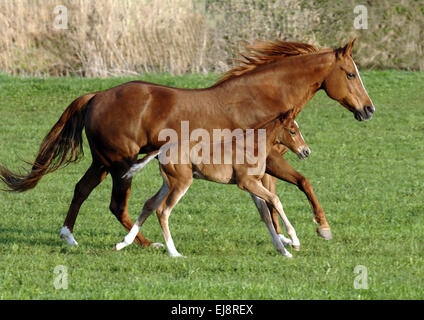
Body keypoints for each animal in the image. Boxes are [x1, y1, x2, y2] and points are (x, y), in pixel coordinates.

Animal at [116, 112, 312, 258]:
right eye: (293, 131)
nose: (306, 151)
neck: (252, 147)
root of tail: (162, 149)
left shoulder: (253, 185)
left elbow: (265, 215)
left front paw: (284, 251)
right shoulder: (246, 183)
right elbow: (275, 199)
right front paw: (294, 241)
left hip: (168, 182)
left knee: (149, 204)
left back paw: (123, 243)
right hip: (181, 183)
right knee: (163, 210)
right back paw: (174, 253)